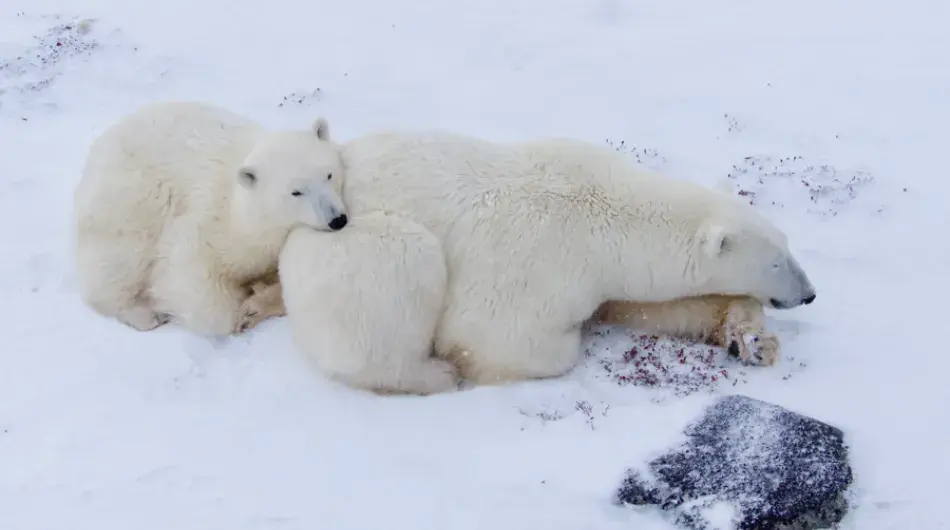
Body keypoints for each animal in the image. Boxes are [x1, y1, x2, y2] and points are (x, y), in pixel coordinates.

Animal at [72, 100, 348, 337]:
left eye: (328, 174)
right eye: (296, 191)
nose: (337, 219)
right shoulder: (207, 223)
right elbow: (188, 280)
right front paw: (243, 306)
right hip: (129, 199)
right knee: (120, 259)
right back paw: (143, 314)